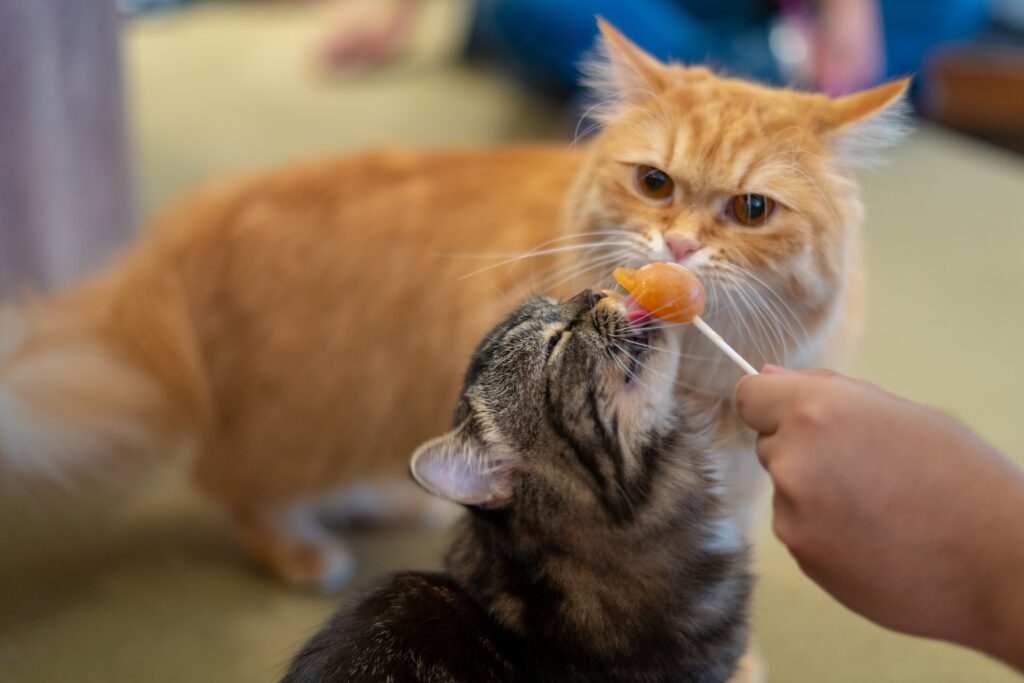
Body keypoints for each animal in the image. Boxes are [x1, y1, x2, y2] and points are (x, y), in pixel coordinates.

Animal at [2, 21, 913, 589]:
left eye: (752, 209)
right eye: (654, 182)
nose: (679, 248)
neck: (686, 382)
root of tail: (183, 225)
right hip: (308, 420)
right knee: (225, 480)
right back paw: (303, 551)